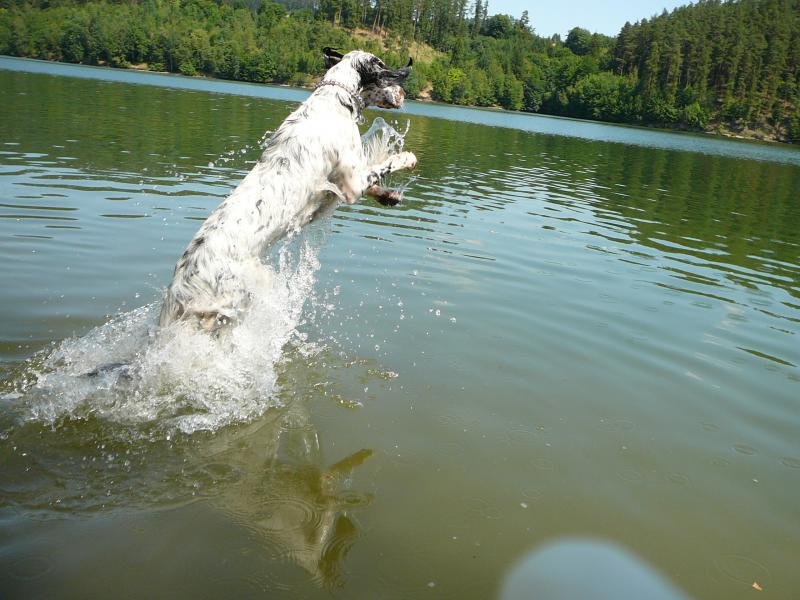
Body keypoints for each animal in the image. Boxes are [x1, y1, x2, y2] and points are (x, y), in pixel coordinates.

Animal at [158, 49, 418, 332]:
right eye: (384, 68)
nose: (403, 94)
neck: (334, 101)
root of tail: (178, 290)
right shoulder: (352, 182)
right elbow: (385, 164)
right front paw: (408, 158)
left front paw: (389, 196)